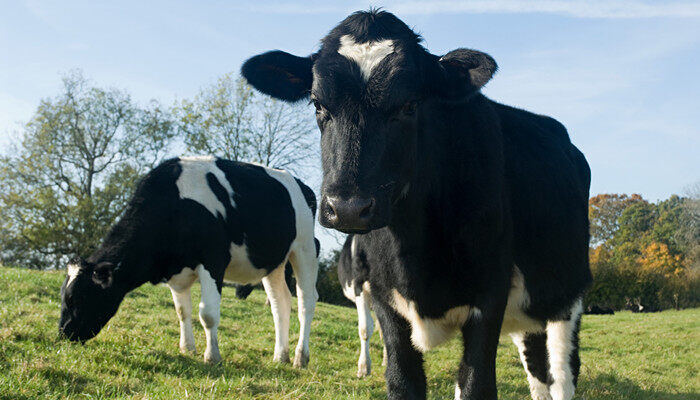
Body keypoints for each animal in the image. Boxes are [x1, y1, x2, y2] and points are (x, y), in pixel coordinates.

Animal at [60, 155, 320, 368]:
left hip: (305, 248)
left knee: (306, 302)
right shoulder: (176, 273)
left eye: (75, 298)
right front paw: (187, 348)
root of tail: (303, 186)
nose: (63, 333)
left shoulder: (213, 261)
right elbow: (182, 311)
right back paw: (280, 356)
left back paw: (301, 357)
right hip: (274, 264)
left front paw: (212, 356)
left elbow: (208, 314)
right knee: (280, 303)